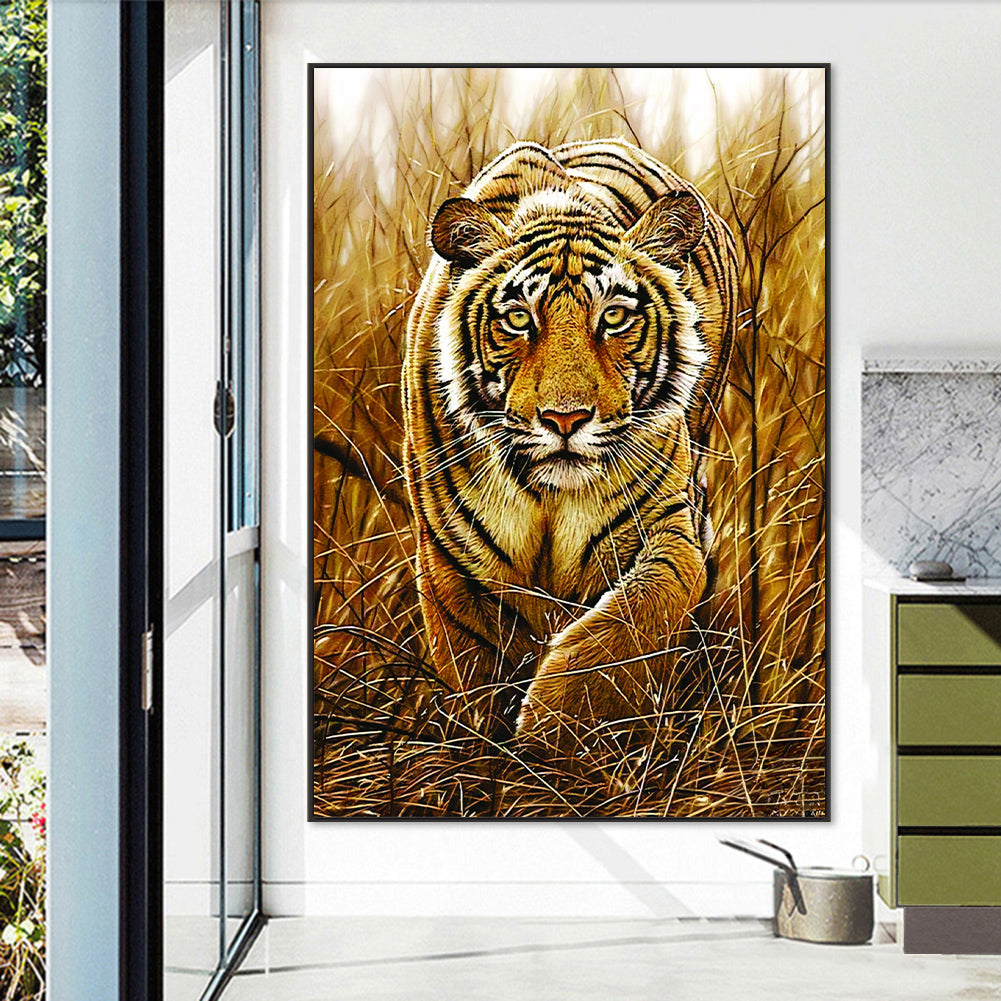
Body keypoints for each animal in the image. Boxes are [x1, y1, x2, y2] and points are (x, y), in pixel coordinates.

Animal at [401, 138, 738, 750]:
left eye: (614, 317)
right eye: (517, 319)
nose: (566, 418)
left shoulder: (667, 527)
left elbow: (634, 619)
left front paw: (555, 732)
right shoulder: (451, 563)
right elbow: (475, 670)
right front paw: (492, 753)